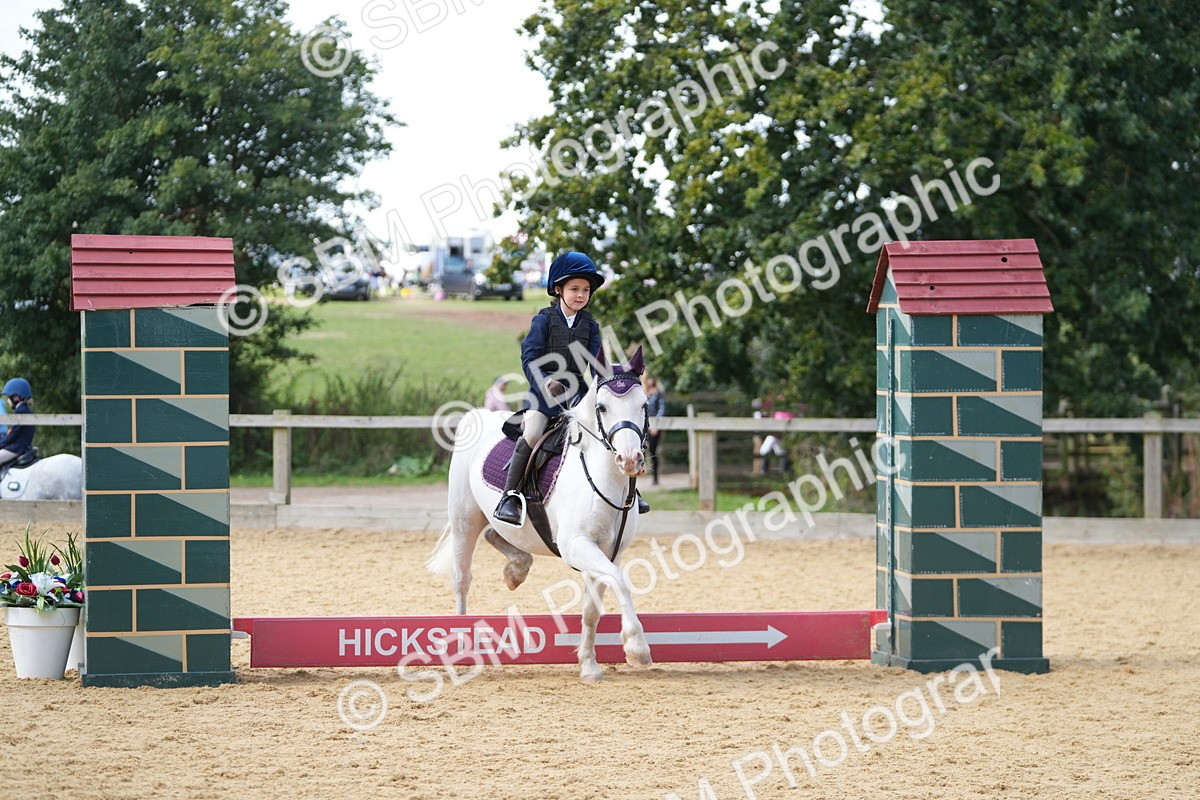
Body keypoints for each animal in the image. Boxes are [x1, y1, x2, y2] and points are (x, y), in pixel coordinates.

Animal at [428, 347, 652, 682]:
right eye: (602, 407)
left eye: (643, 405)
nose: (629, 460)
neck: (605, 481)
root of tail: (479, 415)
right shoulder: (577, 545)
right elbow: (619, 580)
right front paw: (637, 648)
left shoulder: (608, 550)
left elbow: (593, 609)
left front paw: (589, 665)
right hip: (464, 521)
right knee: (462, 579)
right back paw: (460, 645)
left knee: (497, 535)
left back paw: (516, 570)